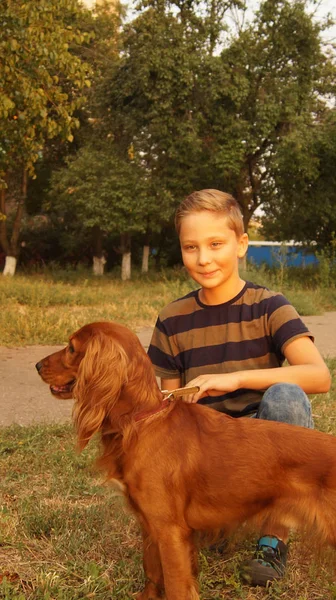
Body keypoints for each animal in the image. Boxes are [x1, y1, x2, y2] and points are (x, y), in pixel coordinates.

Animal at [36, 322, 336, 596]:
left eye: (71, 348)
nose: (38, 365)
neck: (142, 422)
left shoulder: (170, 531)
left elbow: (176, 586)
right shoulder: (150, 526)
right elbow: (152, 573)